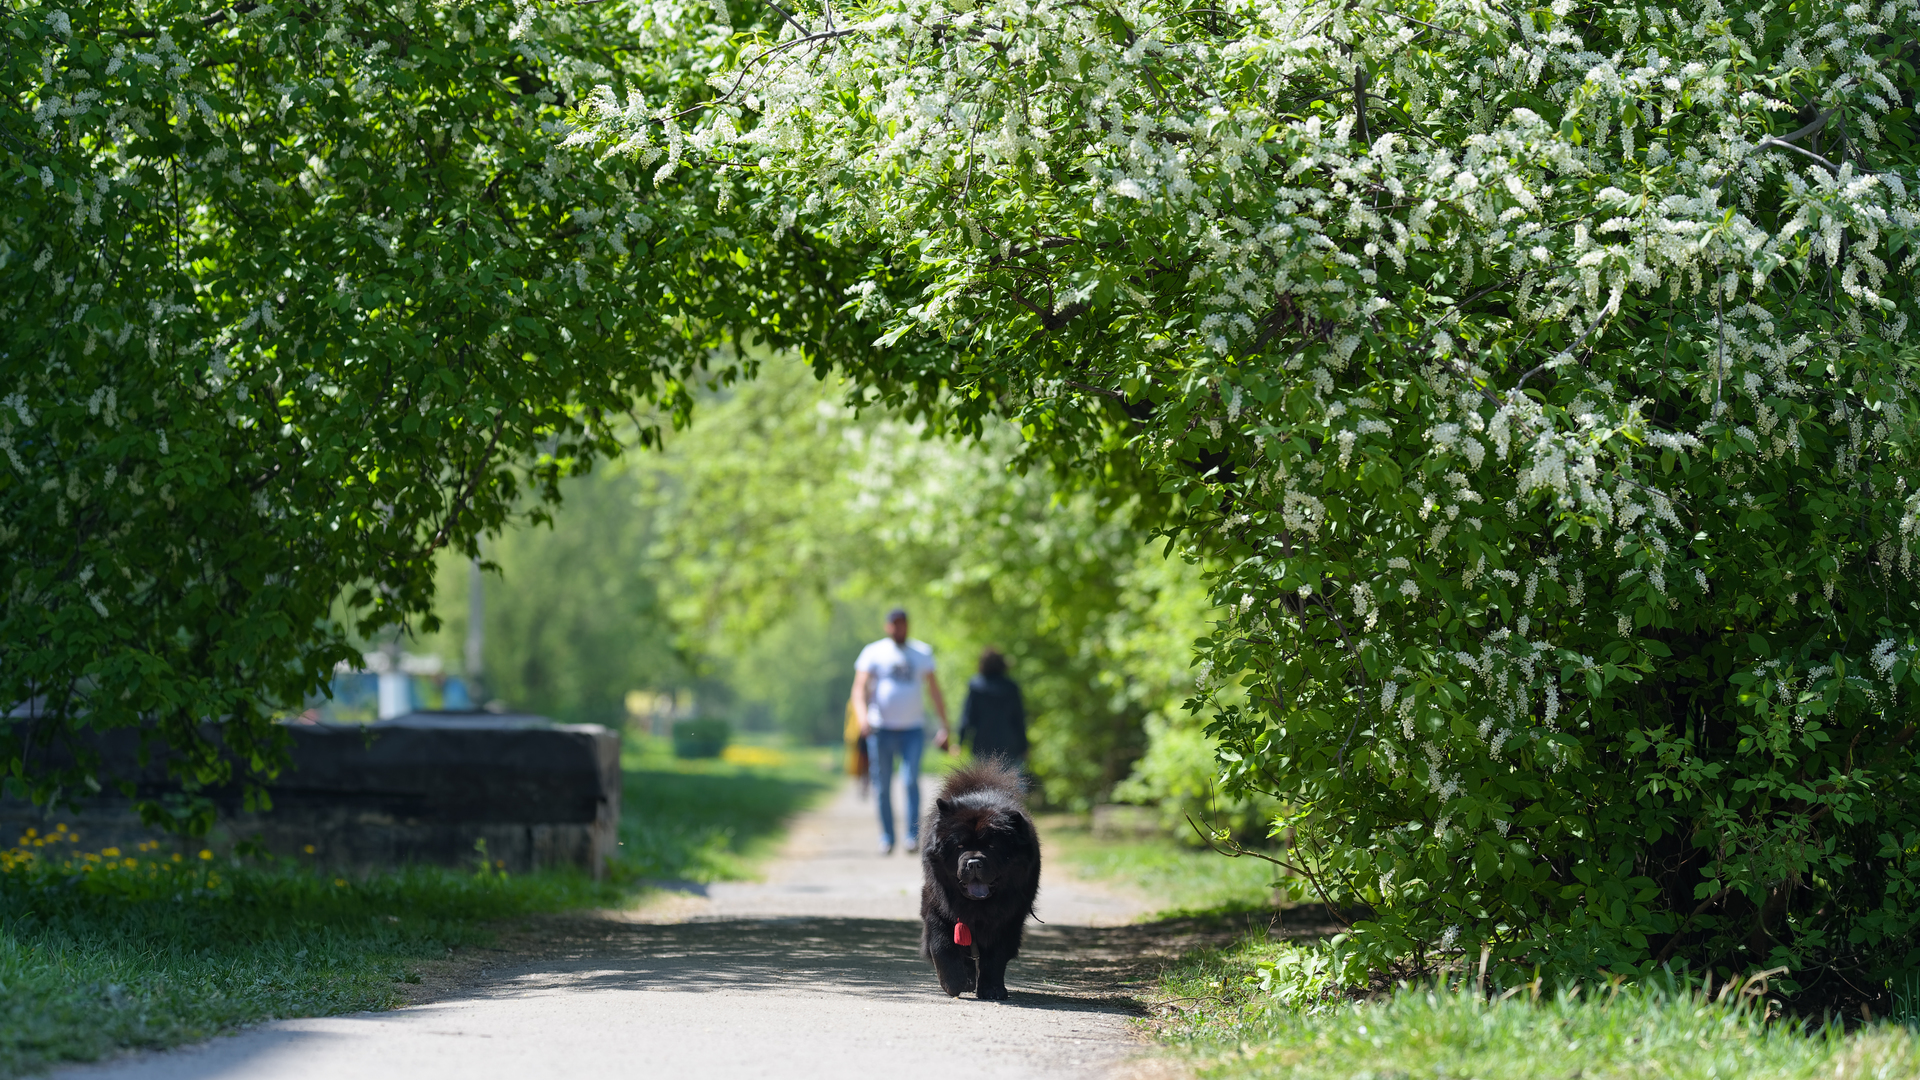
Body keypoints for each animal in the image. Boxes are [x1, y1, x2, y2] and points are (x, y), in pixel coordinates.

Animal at [921, 753, 1044, 999]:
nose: (974, 862)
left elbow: (995, 957)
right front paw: (954, 983)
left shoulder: (1008, 919)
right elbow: (942, 945)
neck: (978, 907)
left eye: (992, 846)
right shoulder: (936, 905)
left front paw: (993, 989)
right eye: (959, 846)